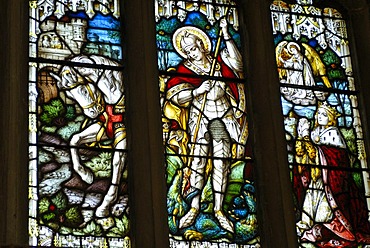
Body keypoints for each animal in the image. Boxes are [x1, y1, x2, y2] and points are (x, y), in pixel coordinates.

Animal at [51, 55, 127, 218]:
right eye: (69, 95)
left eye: (83, 90)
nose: (92, 113)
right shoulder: (104, 128)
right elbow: (75, 139)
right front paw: (85, 174)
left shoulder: (122, 132)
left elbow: (117, 162)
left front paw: (105, 205)